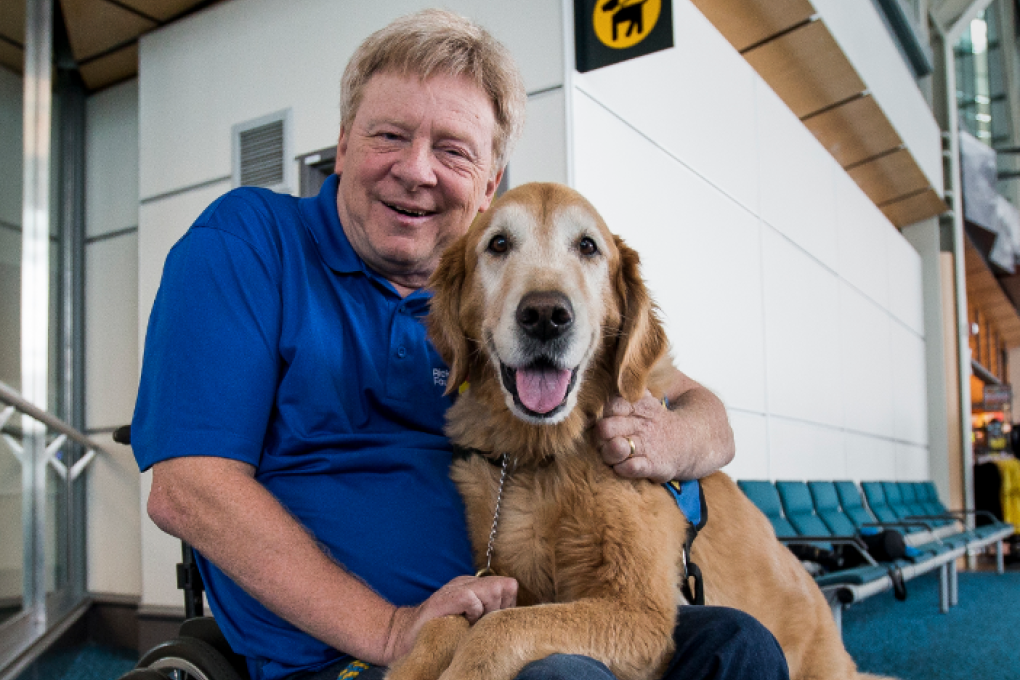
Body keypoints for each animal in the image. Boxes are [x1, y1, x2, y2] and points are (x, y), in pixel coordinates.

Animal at [383, 183, 885, 680]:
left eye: (588, 246)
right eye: (498, 244)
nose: (545, 314)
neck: (546, 458)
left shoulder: (641, 612)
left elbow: (498, 629)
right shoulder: (501, 581)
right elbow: (450, 619)